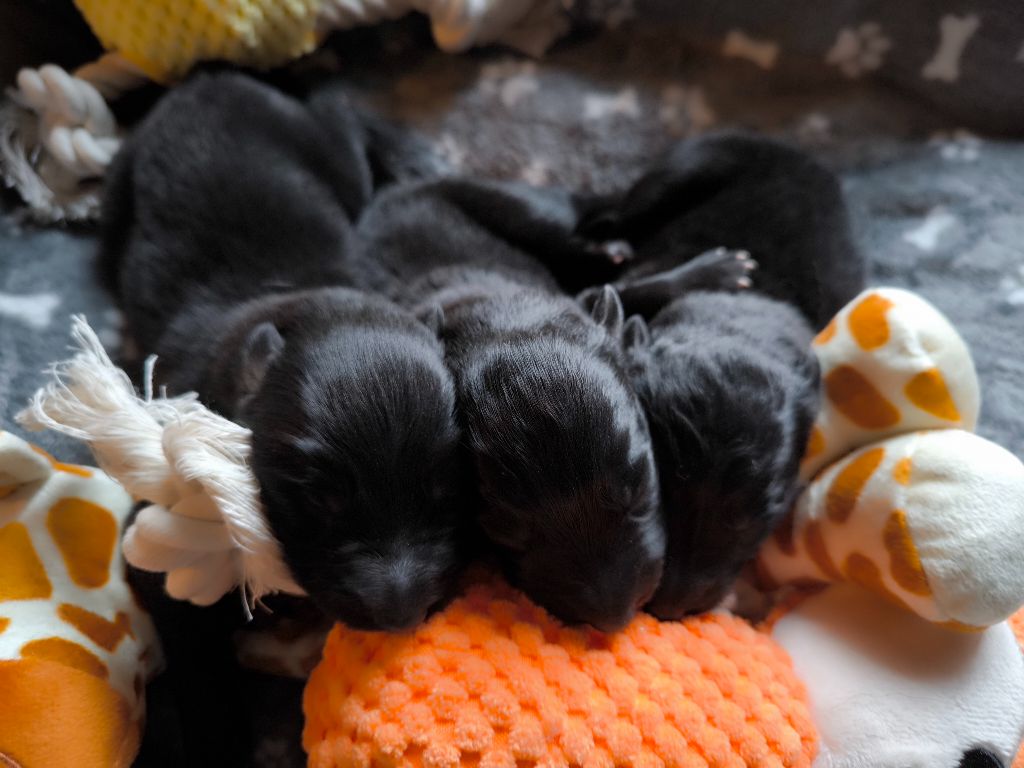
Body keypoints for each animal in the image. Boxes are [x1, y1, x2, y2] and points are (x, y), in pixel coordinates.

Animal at [100, 69, 473, 632]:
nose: (401, 615)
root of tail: (214, 75)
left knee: (338, 116)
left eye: (446, 488)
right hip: (121, 180)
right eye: (321, 496)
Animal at [352, 177, 665, 632]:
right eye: (509, 530)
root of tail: (394, 189)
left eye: (639, 485)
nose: (615, 619)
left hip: (515, 207)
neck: (500, 312)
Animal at [575, 132, 865, 618]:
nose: (672, 609)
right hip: (686, 168)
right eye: (662, 494)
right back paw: (608, 245)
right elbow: (628, 287)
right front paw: (714, 269)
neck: (741, 317)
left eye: (757, 518)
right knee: (613, 213)